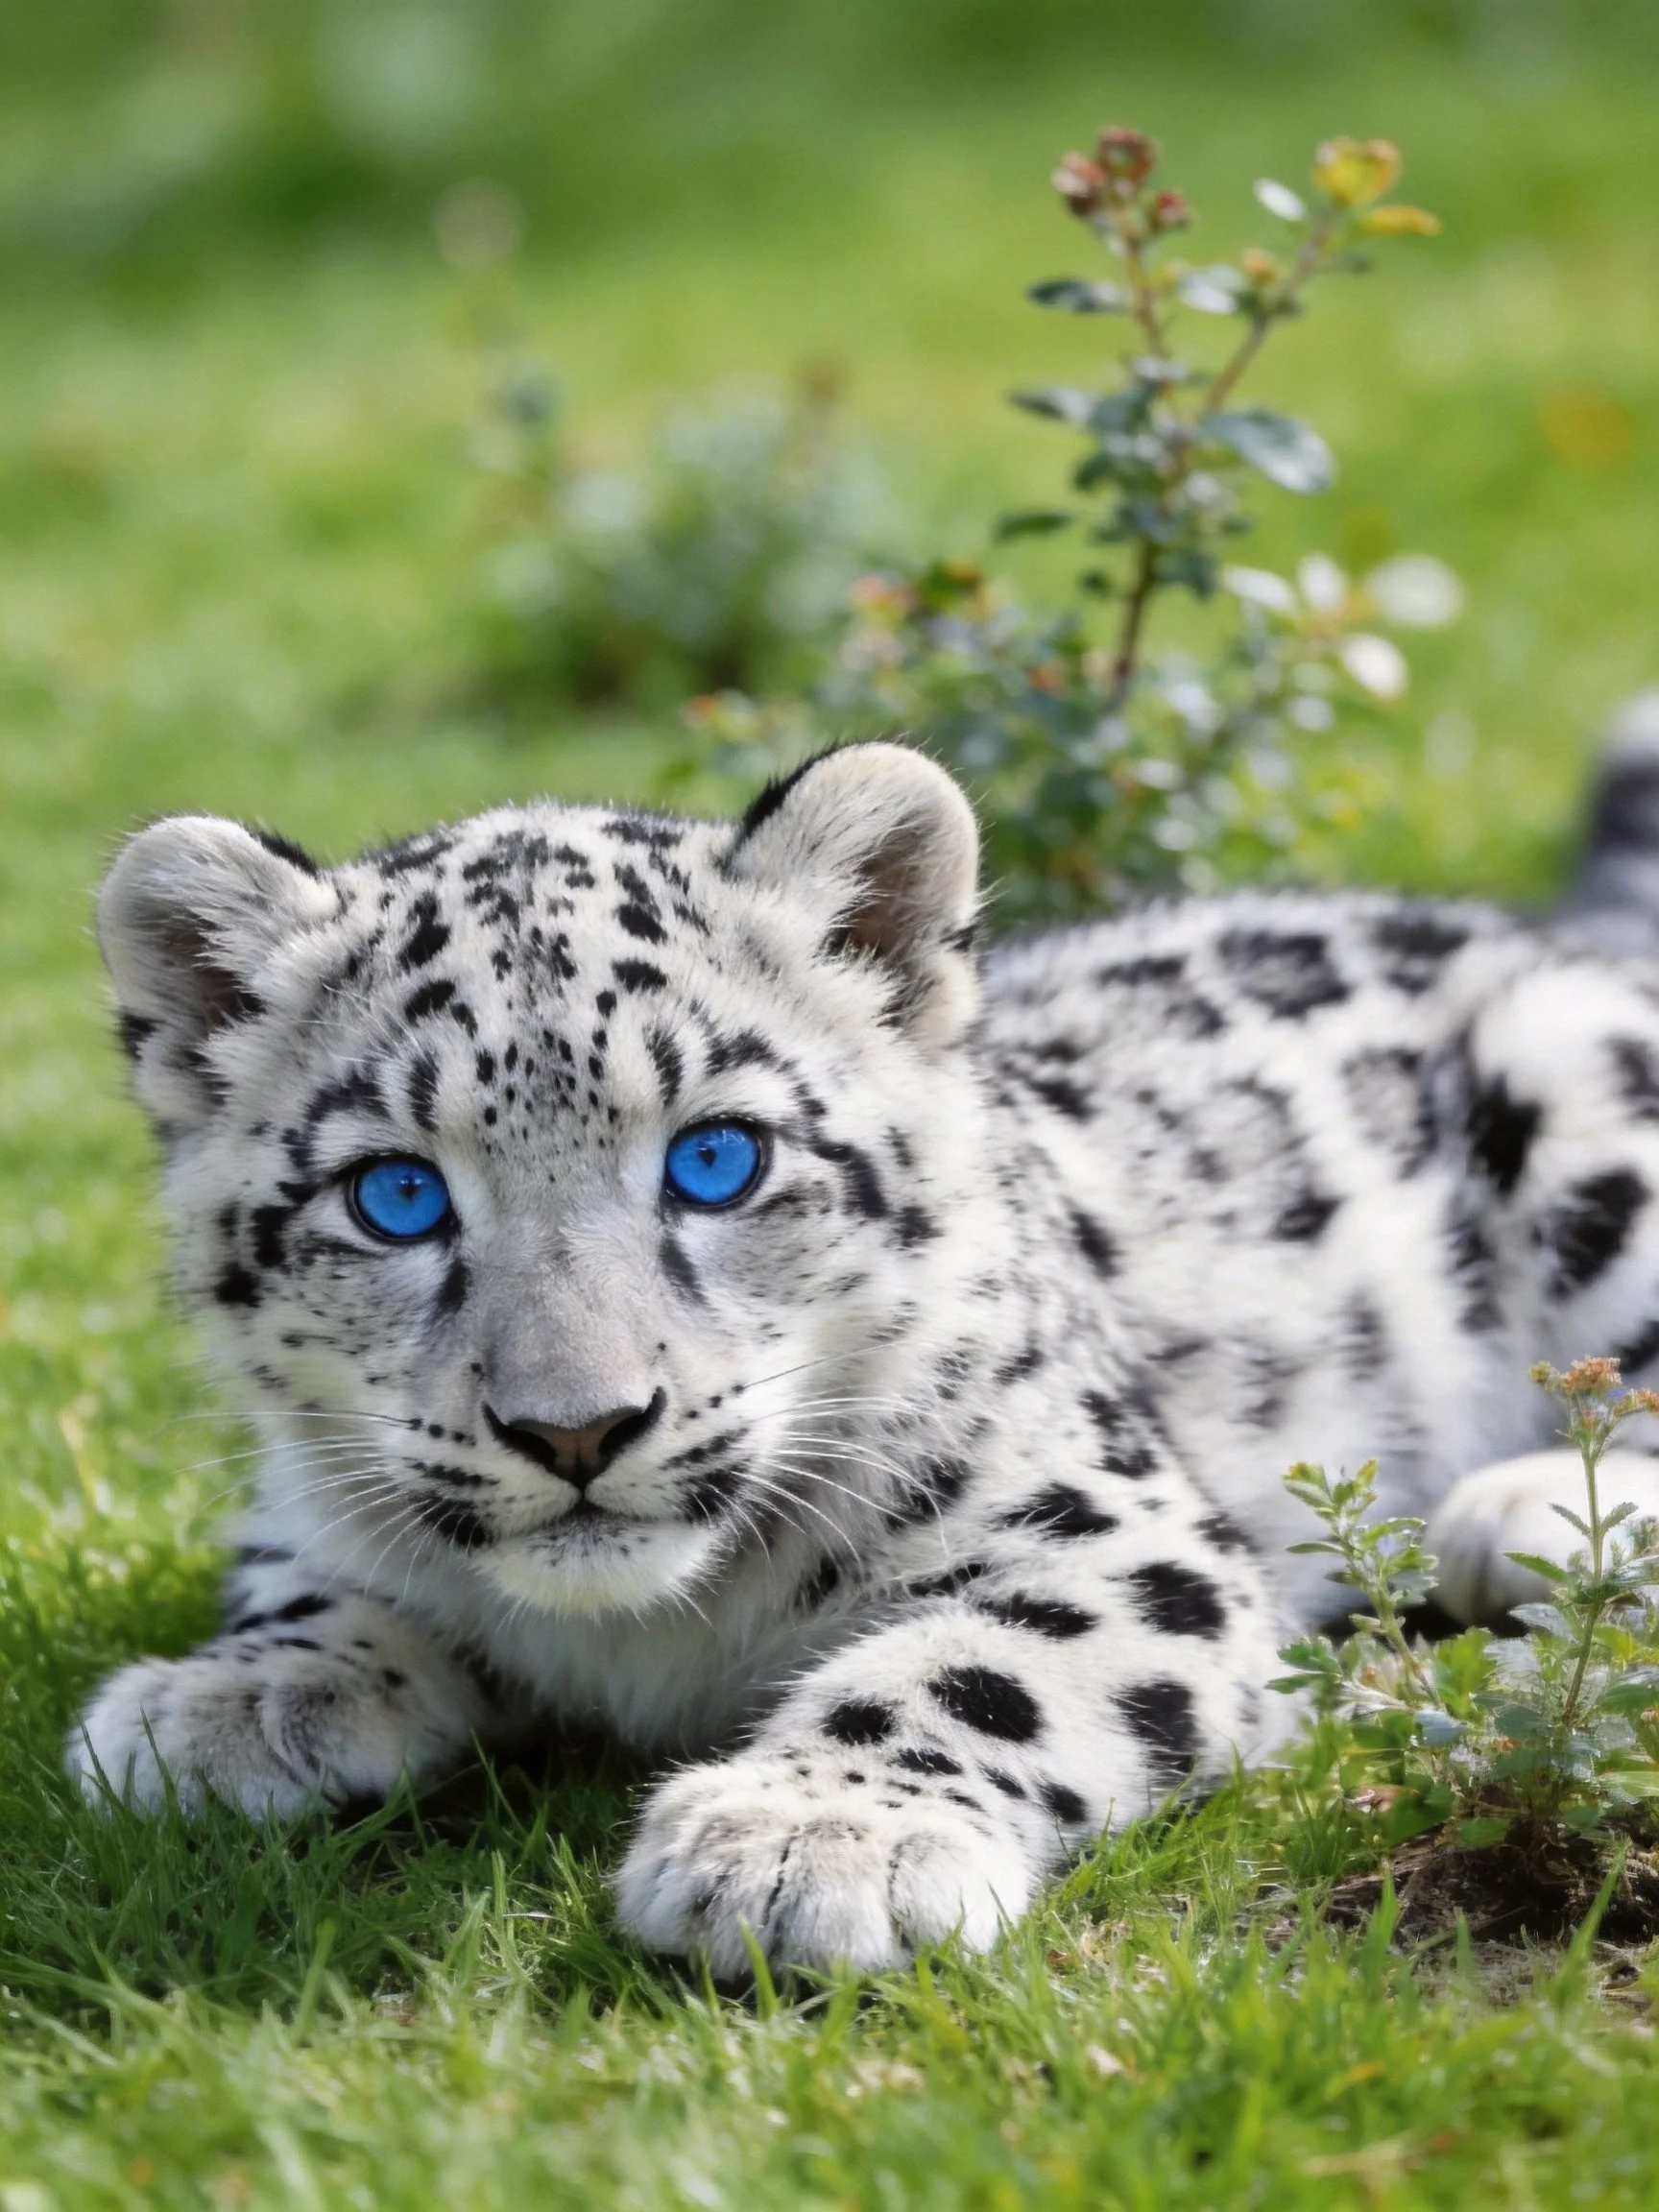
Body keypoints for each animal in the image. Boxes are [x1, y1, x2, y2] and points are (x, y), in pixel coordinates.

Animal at [68, 711, 1659, 1974]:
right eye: (395, 1193)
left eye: (717, 1158)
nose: (577, 1427)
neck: (645, 1642)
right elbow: (319, 1573)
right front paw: (227, 1696)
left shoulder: (1113, 1524)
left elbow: (985, 1660)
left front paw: (808, 1842)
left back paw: (1530, 1514)